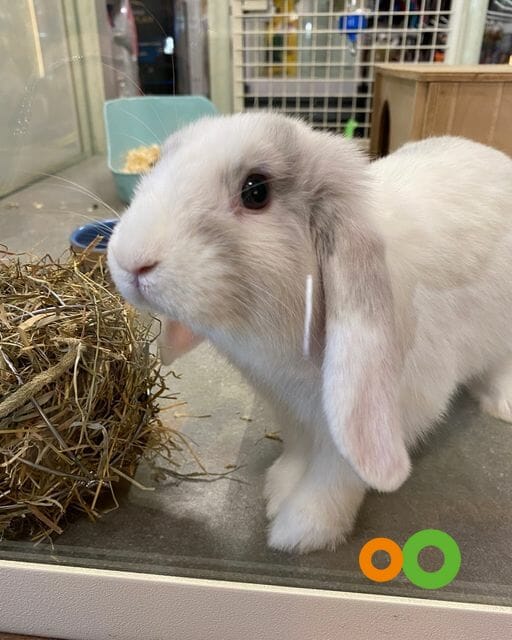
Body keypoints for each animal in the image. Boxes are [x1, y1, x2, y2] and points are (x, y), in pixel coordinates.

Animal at [107, 112, 512, 553]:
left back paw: (502, 406)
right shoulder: (287, 406)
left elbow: (335, 473)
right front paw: (278, 490)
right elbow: (299, 450)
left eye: (256, 191)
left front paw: (300, 530)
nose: (131, 260)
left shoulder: (362, 413)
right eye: (157, 163)